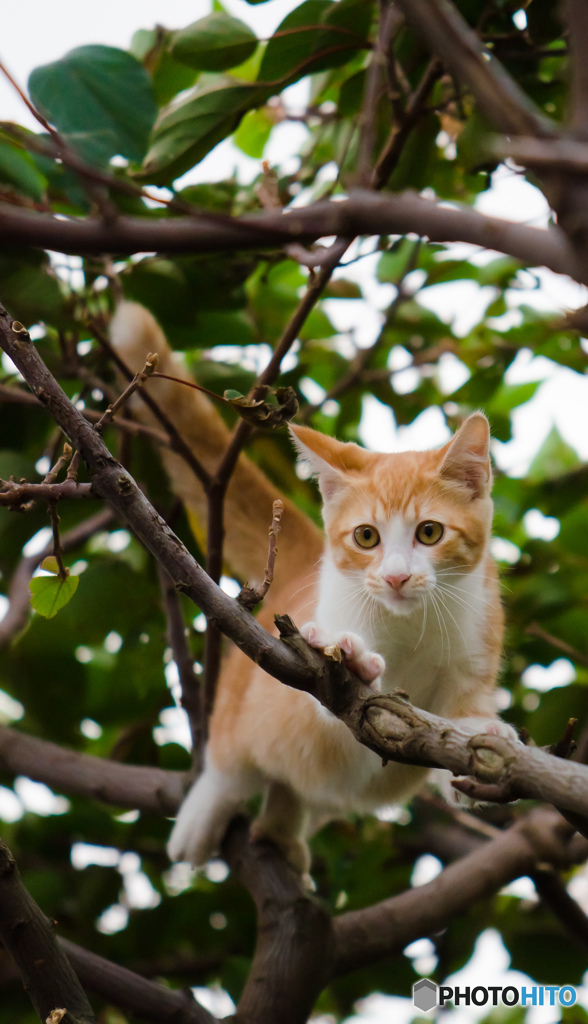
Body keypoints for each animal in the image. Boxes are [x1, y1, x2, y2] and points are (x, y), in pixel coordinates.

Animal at [168, 411, 518, 876]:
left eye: (429, 532)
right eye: (366, 537)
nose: (396, 577)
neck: (409, 623)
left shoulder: (477, 638)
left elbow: (453, 728)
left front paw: (479, 738)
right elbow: (325, 699)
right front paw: (350, 663)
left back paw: (280, 832)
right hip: (246, 699)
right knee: (233, 755)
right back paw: (206, 812)